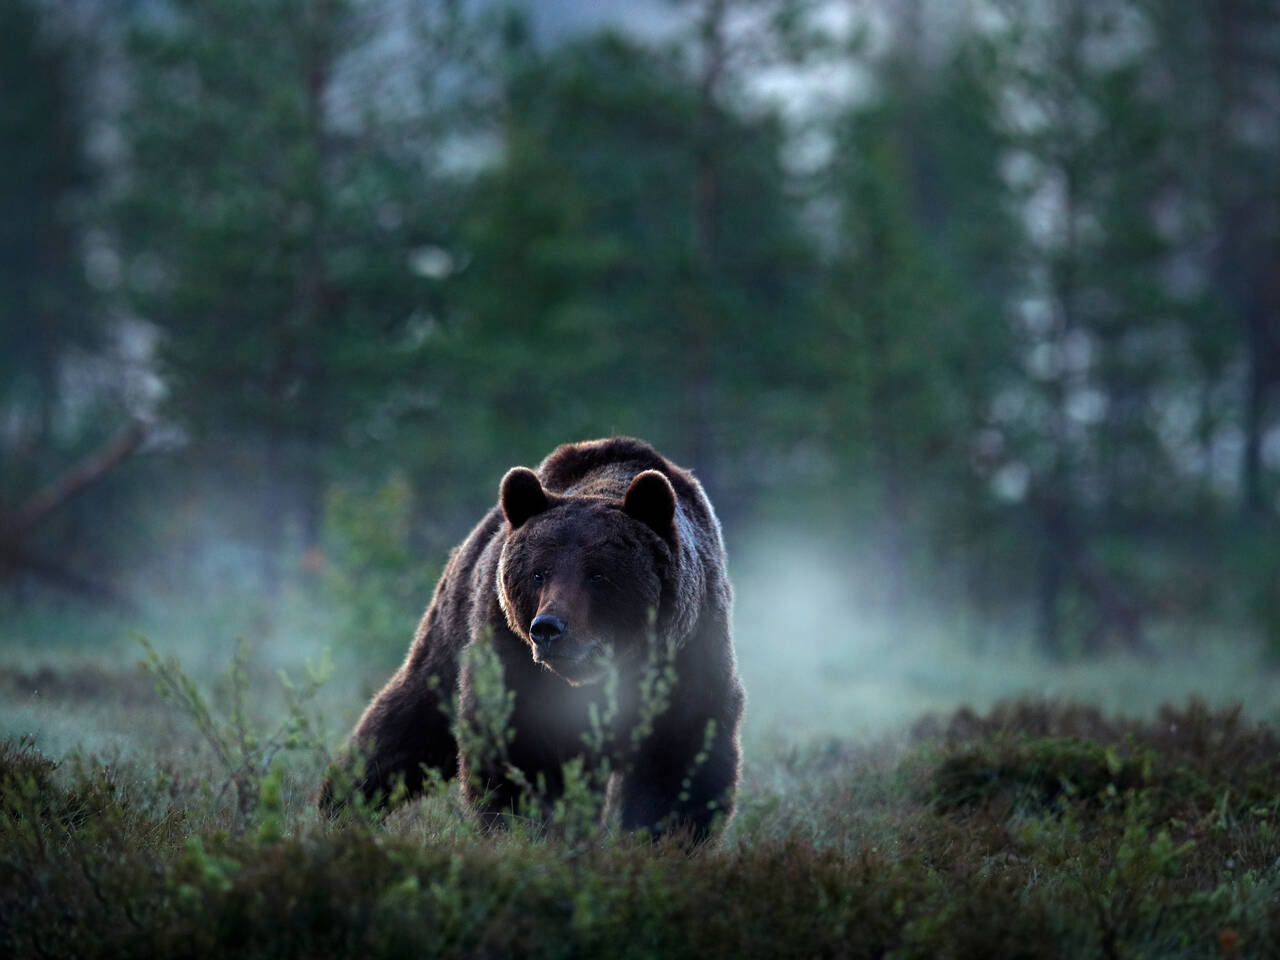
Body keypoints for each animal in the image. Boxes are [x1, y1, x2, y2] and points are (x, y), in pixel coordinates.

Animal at [314, 440, 747, 844]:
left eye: (598, 575)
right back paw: (341, 805)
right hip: (452, 631)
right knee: (408, 723)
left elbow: (680, 760)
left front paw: (665, 840)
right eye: (539, 573)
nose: (548, 628)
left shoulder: (687, 653)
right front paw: (528, 833)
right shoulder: (512, 655)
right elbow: (518, 748)